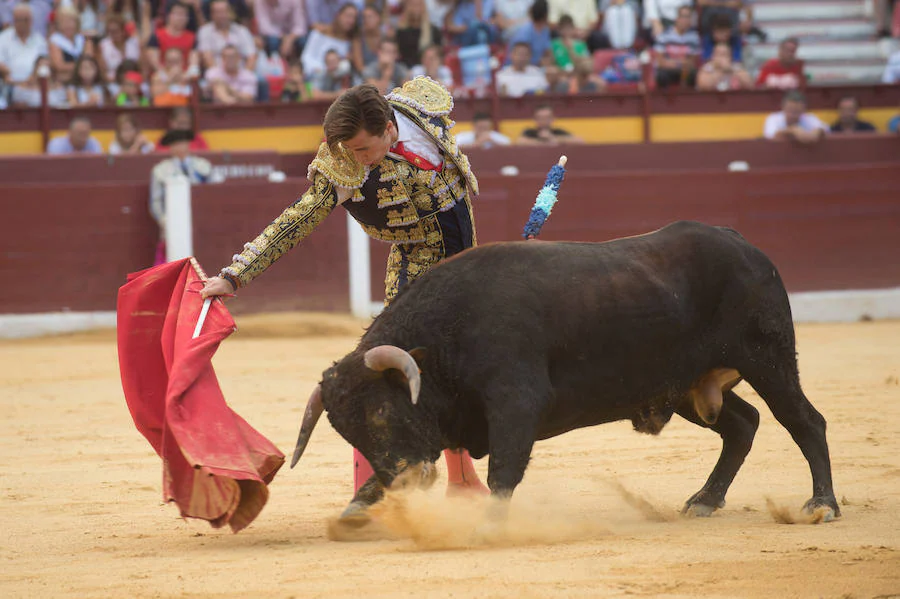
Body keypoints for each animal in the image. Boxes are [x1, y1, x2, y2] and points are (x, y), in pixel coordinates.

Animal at [292, 223, 840, 524]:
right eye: (349, 433)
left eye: (382, 413)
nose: (406, 483)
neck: (446, 334)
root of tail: (741, 243)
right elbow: (374, 481)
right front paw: (356, 511)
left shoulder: (516, 402)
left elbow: (504, 470)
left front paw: (490, 525)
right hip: (687, 385)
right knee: (743, 424)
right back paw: (704, 500)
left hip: (767, 357)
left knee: (804, 421)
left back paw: (822, 505)